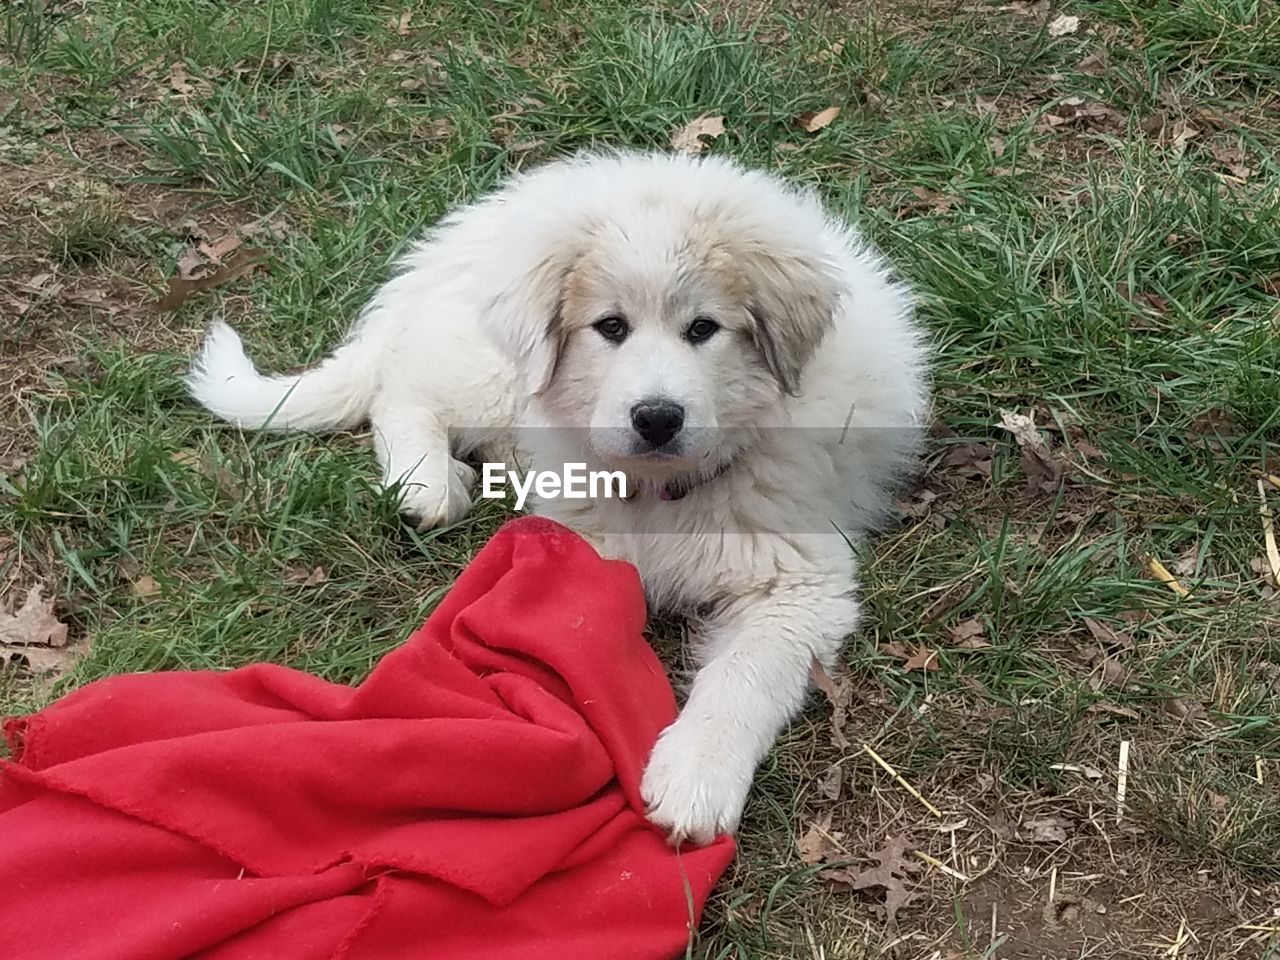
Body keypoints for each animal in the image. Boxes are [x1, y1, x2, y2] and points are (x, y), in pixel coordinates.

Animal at [185, 148, 931, 839]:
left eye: (703, 329)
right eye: (611, 327)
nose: (657, 418)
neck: (658, 491)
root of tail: (460, 238)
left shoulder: (797, 583)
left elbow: (744, 675)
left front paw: (695, 777)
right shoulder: (584, 544)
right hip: (495, 372)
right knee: (404, 388)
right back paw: (427, 483)